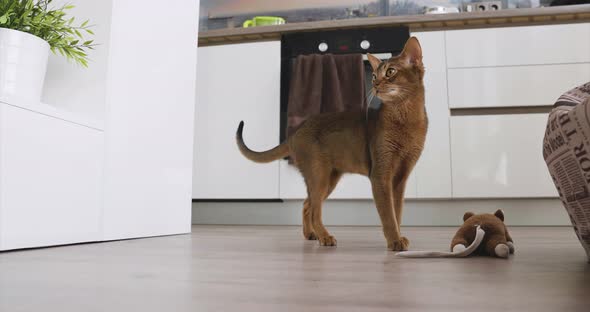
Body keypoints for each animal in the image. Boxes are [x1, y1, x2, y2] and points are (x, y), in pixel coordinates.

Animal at [238, 37, 428, 251]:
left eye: (390, 72)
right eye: (374, 76)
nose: (376, 84)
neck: (406, 118)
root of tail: (297, 131)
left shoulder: (400, 178)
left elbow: (397, 212)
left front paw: (399, 237)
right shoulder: (380, 175)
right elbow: (388, 214)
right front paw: (394, 241)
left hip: (329, 177)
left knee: (307, 204)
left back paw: (311, 234)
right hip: (318, 175)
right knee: (314, 209)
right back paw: (325, 237)